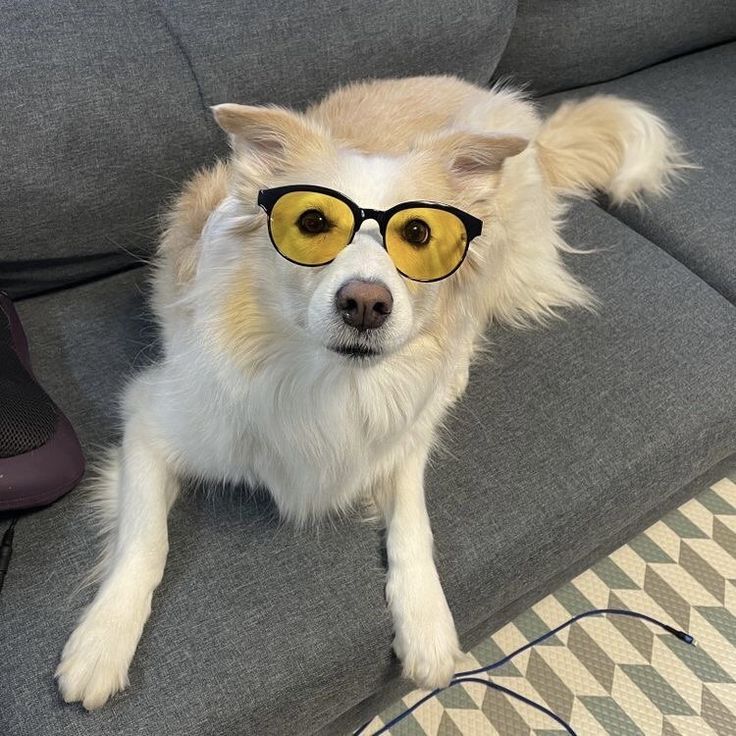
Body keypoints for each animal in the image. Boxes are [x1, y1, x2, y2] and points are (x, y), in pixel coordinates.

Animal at [54, 73, 680, 708]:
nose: (365, 304)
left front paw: (428, 626)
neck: (329, 382)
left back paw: (455, 370)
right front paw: (103, 642)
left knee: (473, 315)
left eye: (420, 233)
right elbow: (145, 540)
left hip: (498, 245)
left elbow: (415, 525)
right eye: (310, 224)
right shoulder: (149, 421)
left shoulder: (400, 441)